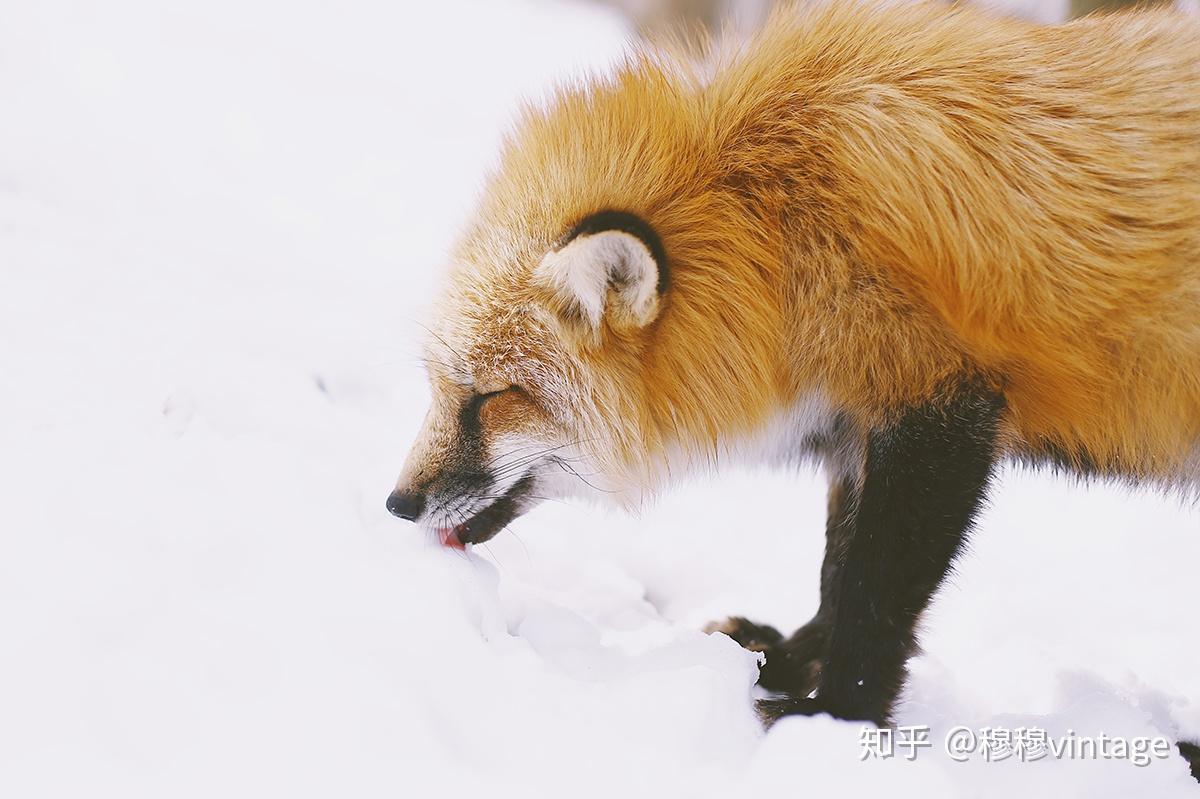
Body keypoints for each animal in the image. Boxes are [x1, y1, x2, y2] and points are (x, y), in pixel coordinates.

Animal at [386, 0, 1200, 739]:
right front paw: (778, 665)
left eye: (491, 396)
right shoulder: (858, 422)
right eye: (440, 385)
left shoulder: (937, 407)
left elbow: (874, 591)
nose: (397, 504)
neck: (779, 226)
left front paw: (834, 716)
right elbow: (836, 577)